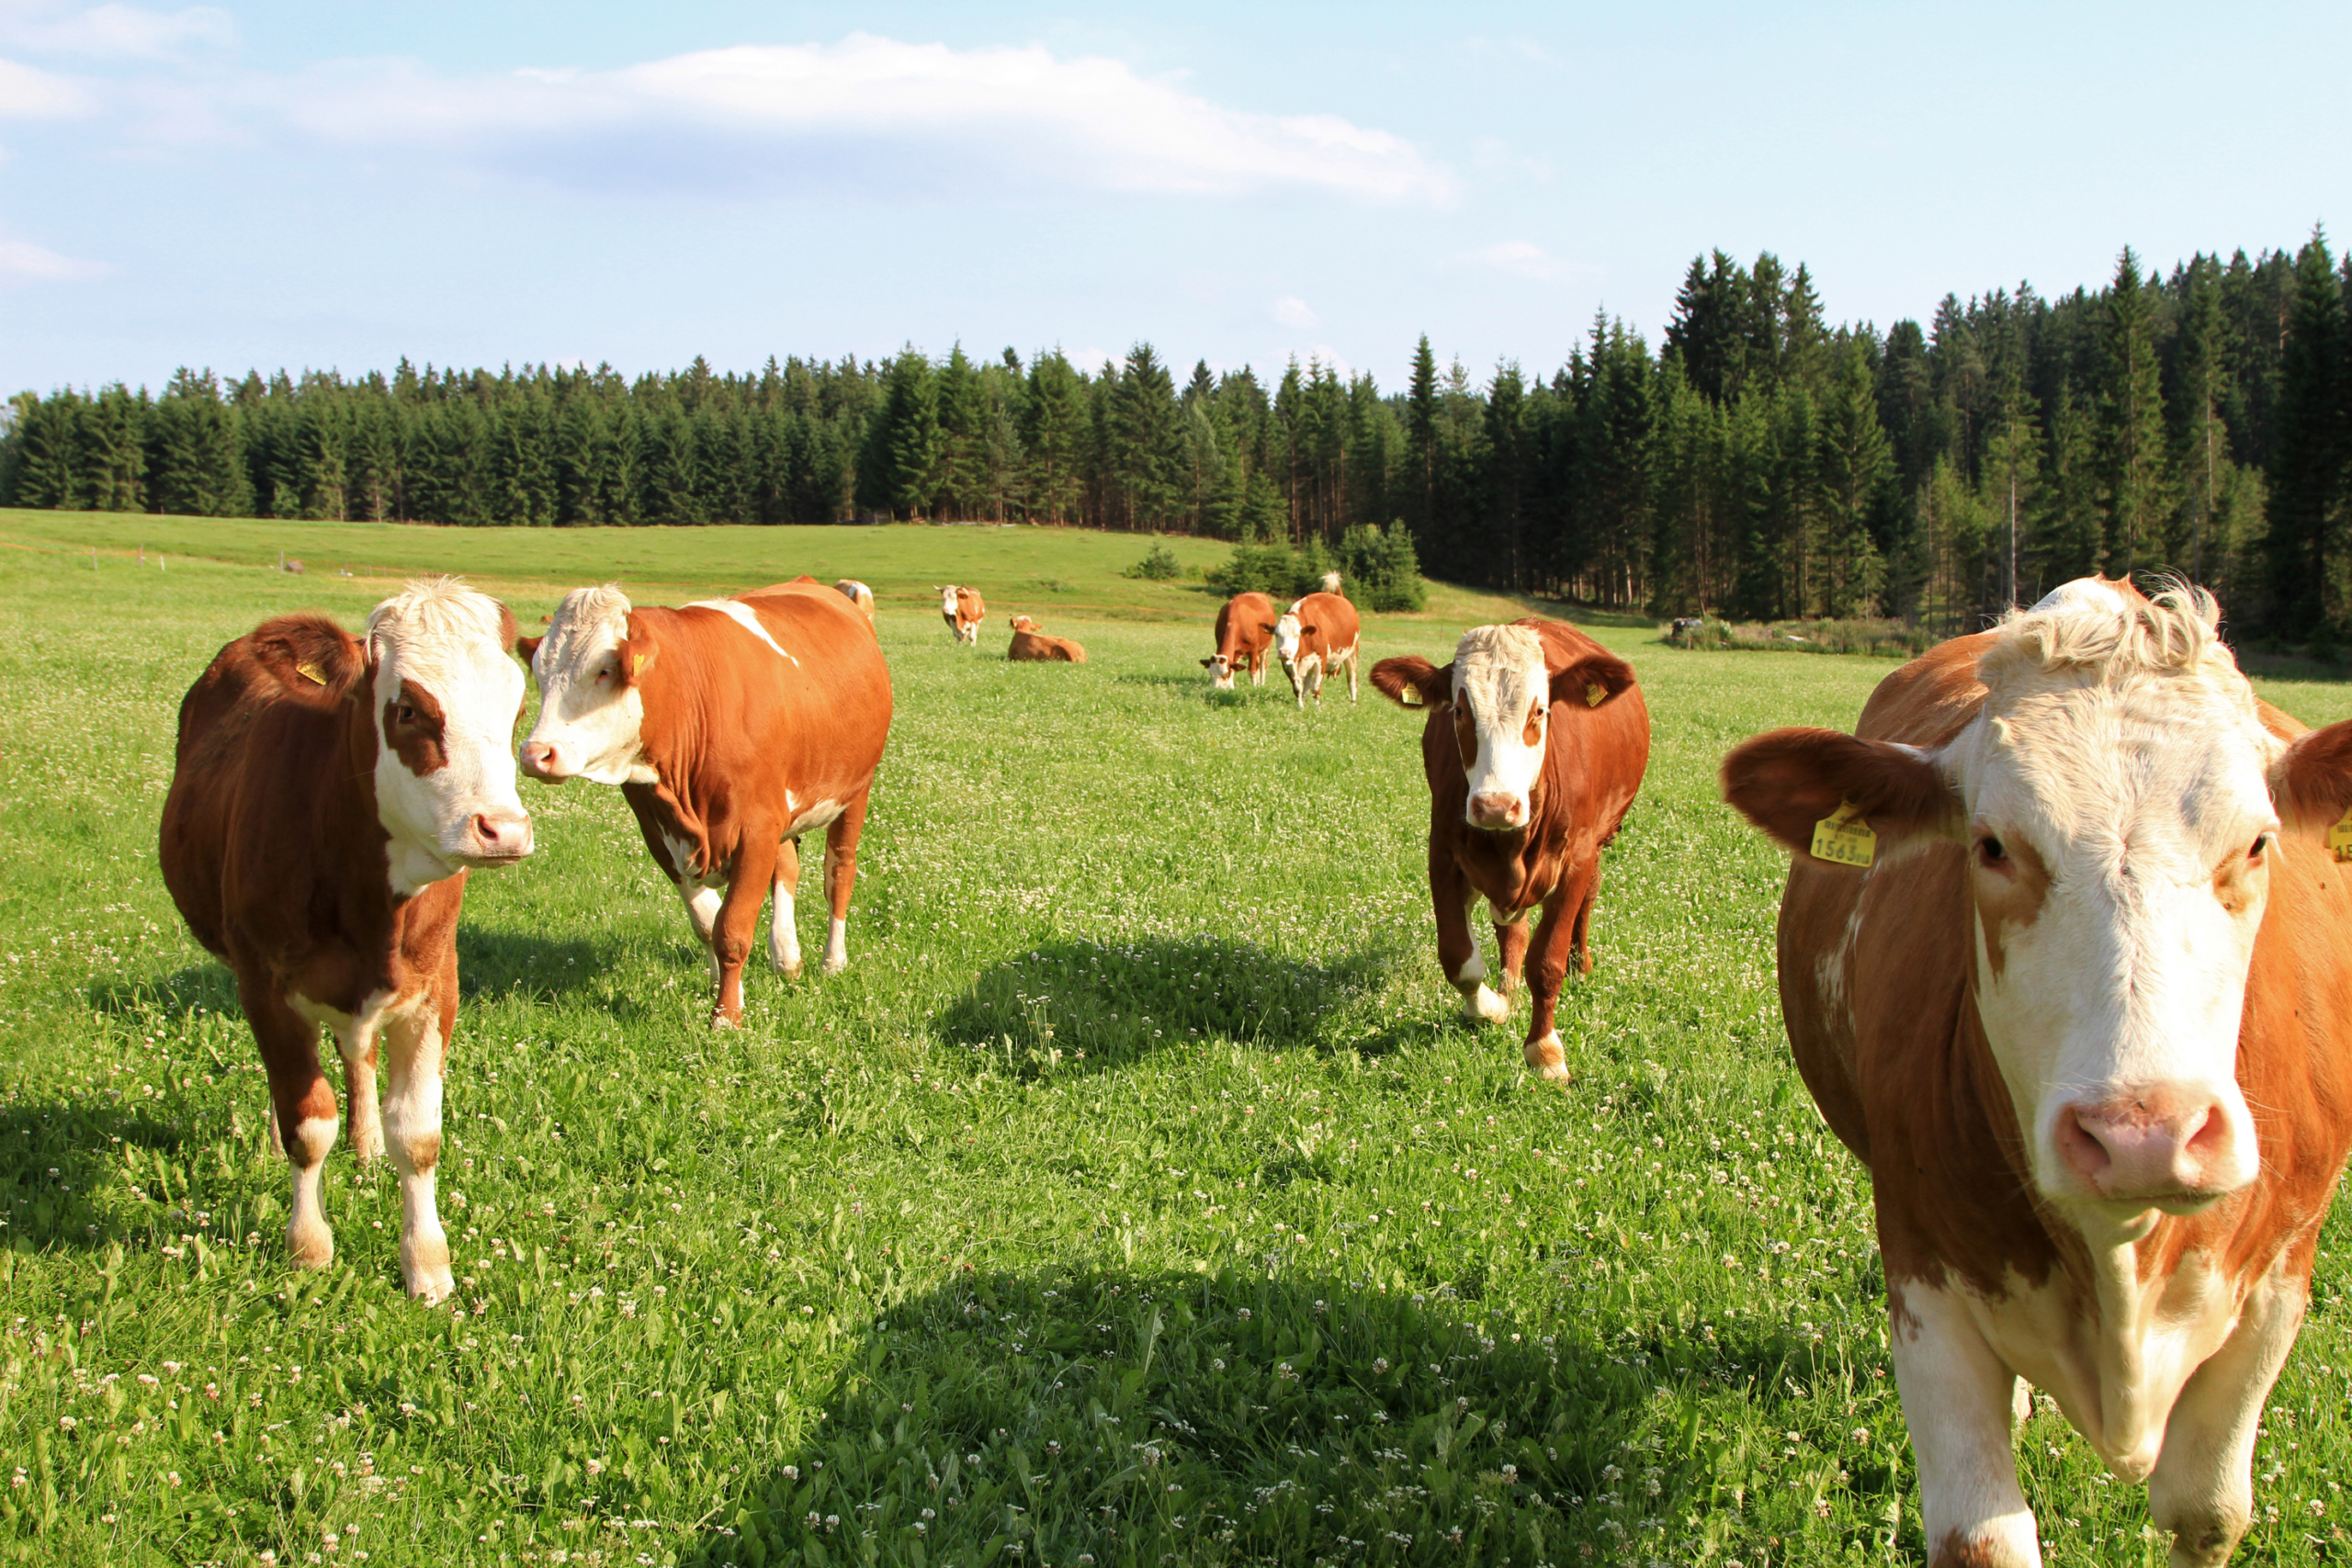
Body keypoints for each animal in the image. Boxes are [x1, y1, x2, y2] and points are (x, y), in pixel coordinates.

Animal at [161, 582, 534, 1306]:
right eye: (409, 709)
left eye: (515, 706)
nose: (503, 830)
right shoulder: (266, 987)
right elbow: (307, 1123)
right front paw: (308, 1247)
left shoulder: (434, 986)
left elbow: (417, 1134)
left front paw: (427, 1265)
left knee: (356, 1058)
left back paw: (364, 1145)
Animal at [514, 576, 888, 1029]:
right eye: (540, 675)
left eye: (604, 670)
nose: (535, 754)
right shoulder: (660, 833)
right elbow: (708, 923)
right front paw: (725, 989)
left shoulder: (756, 828)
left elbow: (732, 929)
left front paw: (726, 1018)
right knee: (787, 868)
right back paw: (786, 957)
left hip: (856, 792)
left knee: (839, 873)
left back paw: (833, 962)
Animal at [1279, 592, 1374, 709]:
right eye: (1277, 634)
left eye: (1297, 635)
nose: (1284, 653)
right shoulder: (1288, 665)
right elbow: (1297, 687)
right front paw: (1300, 706)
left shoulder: (1321, 660)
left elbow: (1316, 687)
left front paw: (1316, 706)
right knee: (1307, 683)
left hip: (1352, 653)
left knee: (1352, 679)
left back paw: (1353, 703)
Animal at [1374, 620, 1646, 1086]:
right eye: (1459, 712)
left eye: (1539, 711)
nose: (1497, 805)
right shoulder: (1443, 853)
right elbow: (1459, 959)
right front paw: (1492, 1006)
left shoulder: (1577, 858)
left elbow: (1547, 961)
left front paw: (1546, 1052)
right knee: (1511, 929)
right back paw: (1509, 989)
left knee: (1588, 900)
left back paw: (1581, 964)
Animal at [1721, 581, 2352, 1568]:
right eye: (1991, 845)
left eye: (2257, 844)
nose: (2143, 1137)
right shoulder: (1923, 1273)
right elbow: (1984, 1536)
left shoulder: (2281, 1275)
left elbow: (2206, 1508)